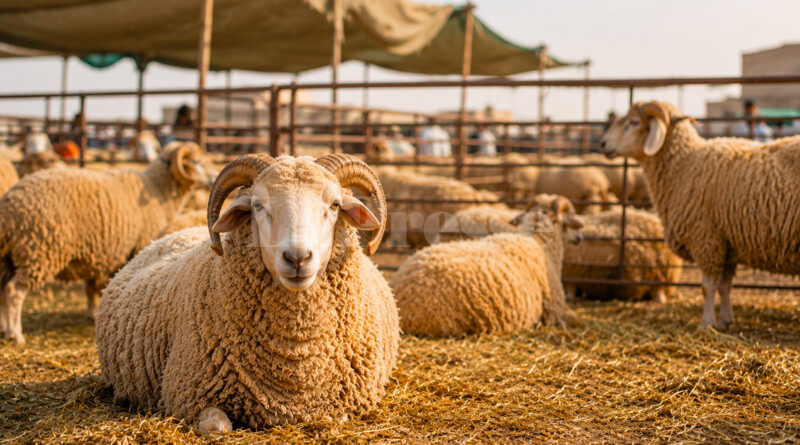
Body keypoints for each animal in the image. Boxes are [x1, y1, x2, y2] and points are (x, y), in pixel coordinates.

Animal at [0, 142, 215, 344]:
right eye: (196, 161)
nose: (213, 179)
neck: (157, 188)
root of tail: (8, 210)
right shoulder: (138, 248)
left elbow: (92, 288)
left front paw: (92, 315)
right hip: (38, 251)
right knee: (14, 292)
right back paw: (15, 334)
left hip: (8, 257)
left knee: (3, 289)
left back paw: (3, 330)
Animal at [96, 153, 399, 431]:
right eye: (257, 204)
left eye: (335, 204)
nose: (297, 258)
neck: (295, 356)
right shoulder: (187, 395)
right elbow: (217, 427)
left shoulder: (347, 402)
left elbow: (336, 419)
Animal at [601, 100, 800, 328]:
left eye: (633, 122)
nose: (603, 143)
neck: (684, 165)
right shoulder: (726, 244)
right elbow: (724, 287)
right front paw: (725, 321)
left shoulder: (706, 240)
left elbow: (708, 288)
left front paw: (706, 323)